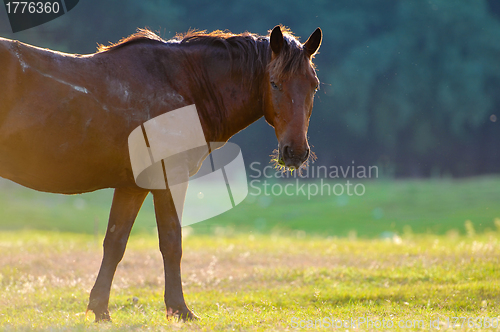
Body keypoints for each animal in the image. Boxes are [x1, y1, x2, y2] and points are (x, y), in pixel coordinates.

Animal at [0, 26, 322, 322]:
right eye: (274, 83)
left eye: (314, 86)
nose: (295, 152)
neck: (186, 86)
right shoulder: (170, 180)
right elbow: (171, 243)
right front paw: (179, 309)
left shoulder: (132, 187)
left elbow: (114, 244)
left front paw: (100, 310)